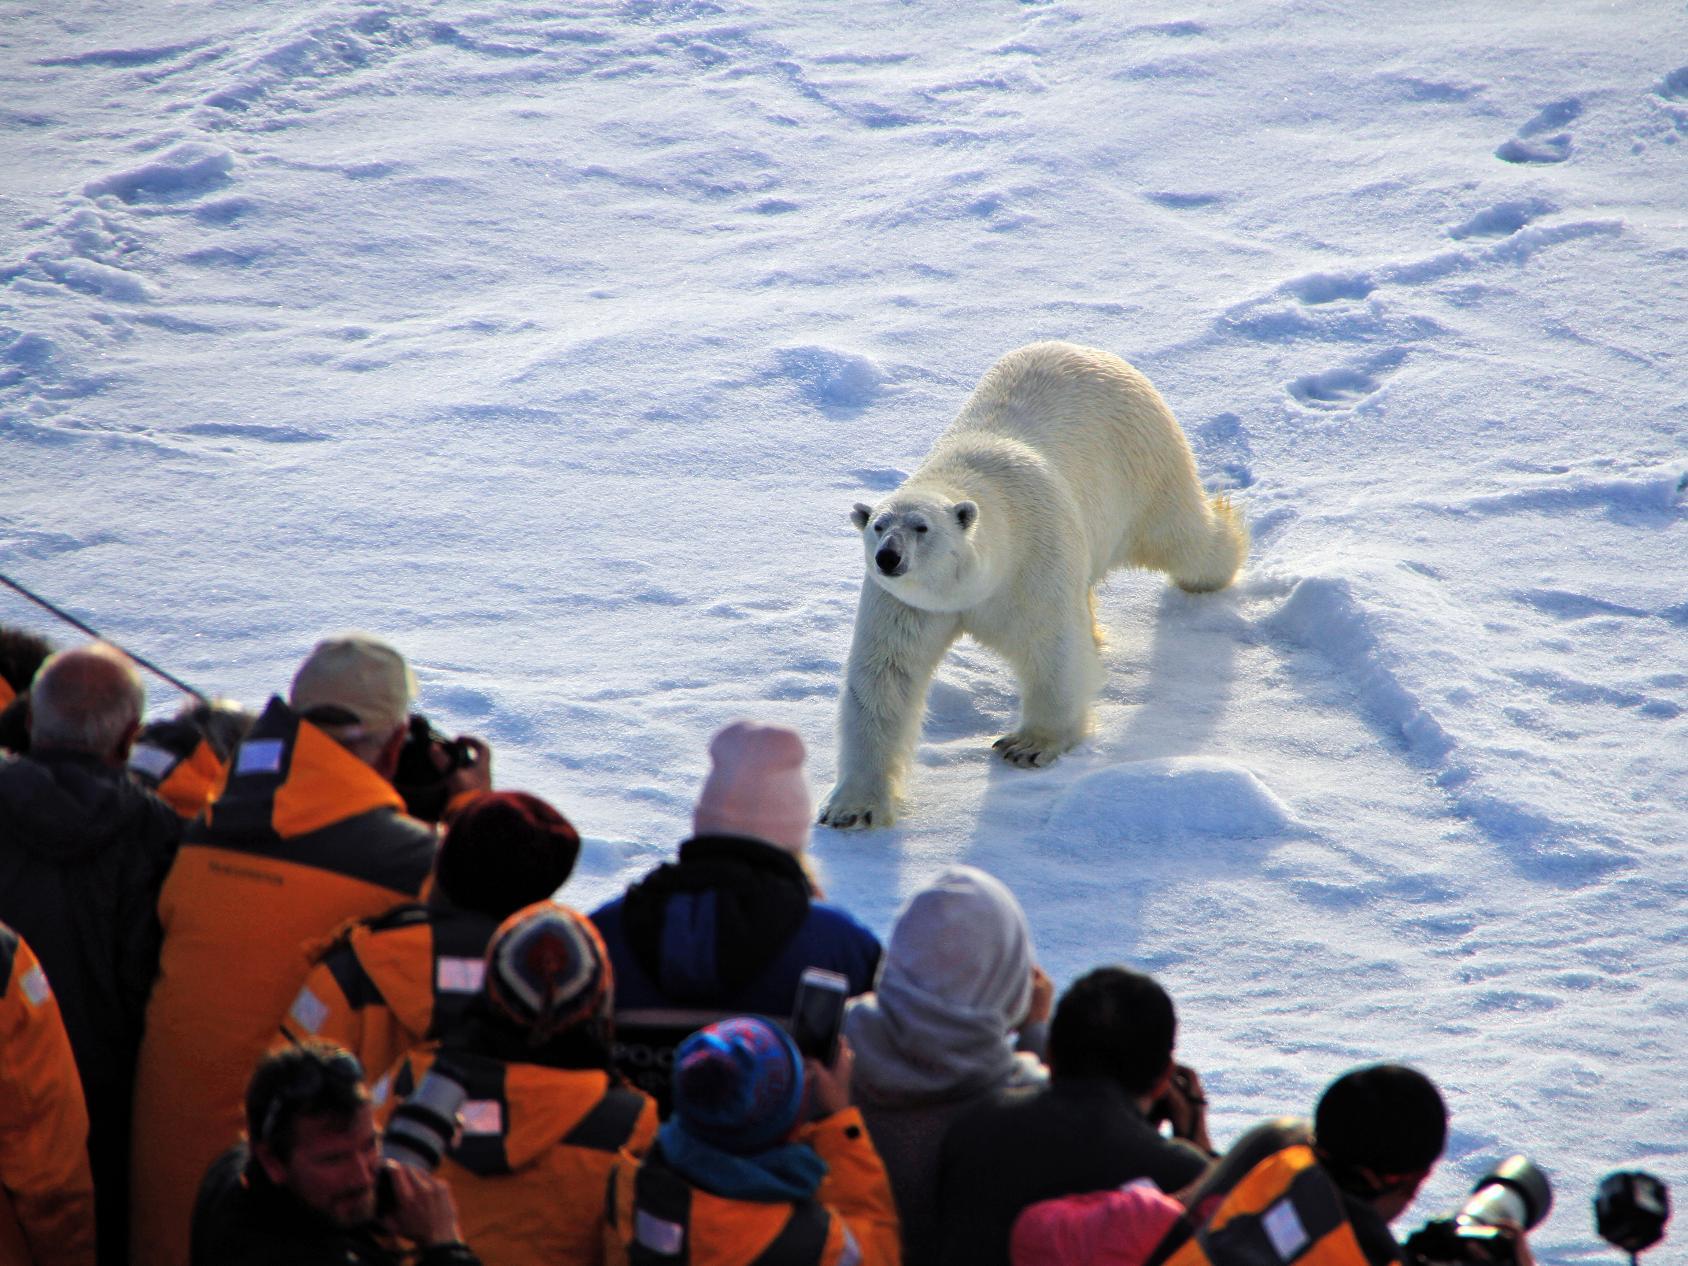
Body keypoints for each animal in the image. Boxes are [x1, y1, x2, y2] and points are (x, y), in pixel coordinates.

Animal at [816, 339, 1242, 833]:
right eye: (879, 526)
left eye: (921, 527)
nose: (889, 557)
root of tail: (1086, 349)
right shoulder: (906, 603)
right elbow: (886, 676)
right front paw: (851, 808)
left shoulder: (1033, 560)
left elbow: (1051, 647)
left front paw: (1029, 745)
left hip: (1145, 462)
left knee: (1184, 539)